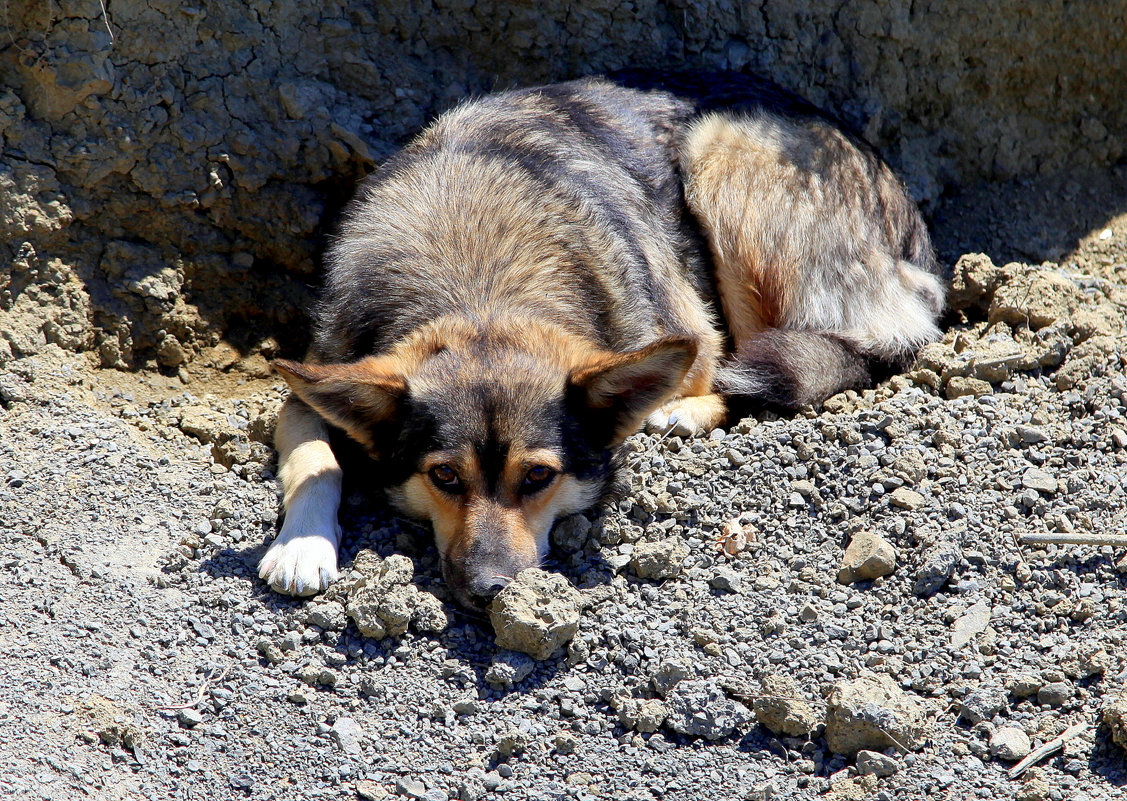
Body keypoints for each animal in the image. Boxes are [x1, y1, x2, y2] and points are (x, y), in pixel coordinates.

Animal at [255, 72, 942, 612]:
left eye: (538, 477)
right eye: (444, 476)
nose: (489, 591)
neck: (477, 280)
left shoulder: (687, 330)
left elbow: (706, 361)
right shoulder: (310, 386)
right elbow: (315, 459)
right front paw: (301, 545)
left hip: (720, 161)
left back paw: (683, 412)